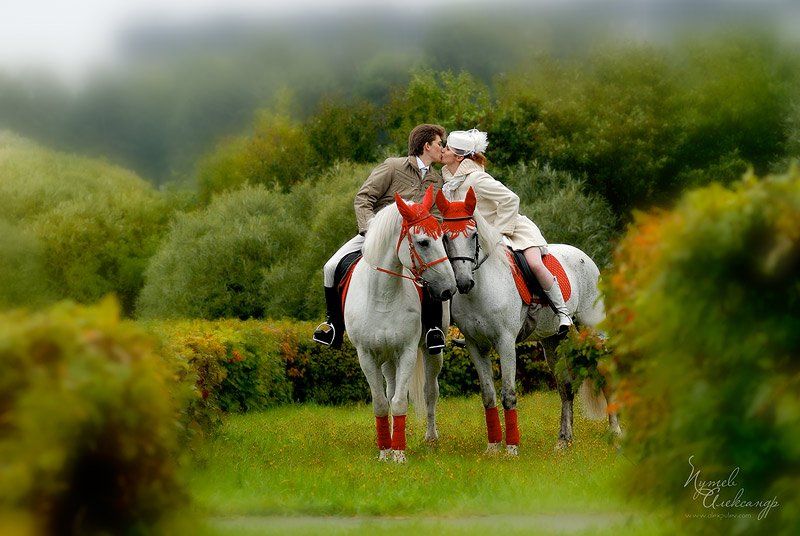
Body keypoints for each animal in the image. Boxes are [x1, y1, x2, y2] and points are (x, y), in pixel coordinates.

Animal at [344, 186, 456, 462]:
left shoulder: (406, 352)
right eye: (423, 242)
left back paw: (430, 438)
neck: (382, 296)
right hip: (386, 359)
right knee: (392, 388)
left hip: (429, 352)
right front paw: (385, 451)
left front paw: (398, 454)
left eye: (443, 238)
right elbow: (381, 402)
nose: (449, 288)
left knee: (429, 391)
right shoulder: (367, 356)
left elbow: (399, 401)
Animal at [434, 187, 620, 452]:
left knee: (605, 377)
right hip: (552, 341)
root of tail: (585, 257)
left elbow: (509, 394)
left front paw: (512, 449)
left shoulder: (505, 343)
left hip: (593, 331)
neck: (480, 289)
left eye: (473, 235)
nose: (463, 282)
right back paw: (563, 441)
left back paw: (615, 433)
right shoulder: (475, 345)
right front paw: (493, 447)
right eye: (445, 237)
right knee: (565, 388)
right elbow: (488, 395)